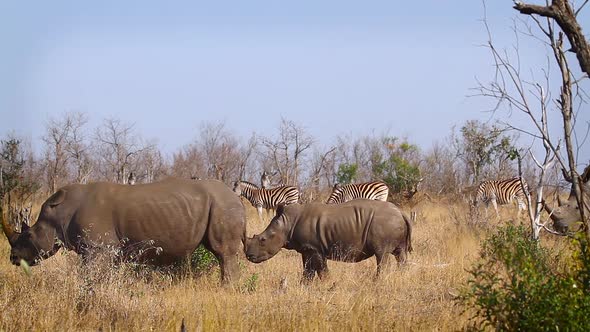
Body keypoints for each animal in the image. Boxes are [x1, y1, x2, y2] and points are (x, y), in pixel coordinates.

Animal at [1, 179, 246, 282]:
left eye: (29, 235)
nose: (13, 258)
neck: (61, 212)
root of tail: (237, 197)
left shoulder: (98, 249)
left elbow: (92, 277)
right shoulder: (105, 250)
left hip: (223, 205)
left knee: (224, 254)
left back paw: (226, 290)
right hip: (220, 204)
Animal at [245, 200, 412, 282]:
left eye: (263, 239)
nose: (249, 256)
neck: (287, 223)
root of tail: (401, 212)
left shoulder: (314, 248)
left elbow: (321, 270)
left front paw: (328, 285)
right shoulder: (307, 249)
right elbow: (308, 271)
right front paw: (305, 286)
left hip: (384, 223)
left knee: (382, 255)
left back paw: (377, 282)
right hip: (393, 224)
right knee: (400, 254)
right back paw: (401, 277)